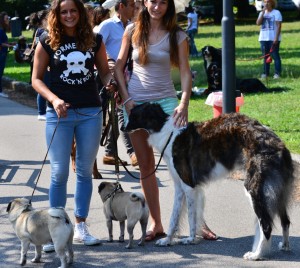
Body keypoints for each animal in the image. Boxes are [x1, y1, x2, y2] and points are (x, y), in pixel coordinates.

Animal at [124, 102, 296, 260]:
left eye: (133, 115)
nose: (123, 128)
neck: (168, 134)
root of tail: (279, 145)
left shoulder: (188, 186)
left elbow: (191, 217)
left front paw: (190, 240)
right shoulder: (180, 187)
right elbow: (174, 217)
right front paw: (167, 240)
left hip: (254, 189)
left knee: (266, 225)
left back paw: (256, 254)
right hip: (278, 191)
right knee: (285, 221)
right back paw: (285, 245)